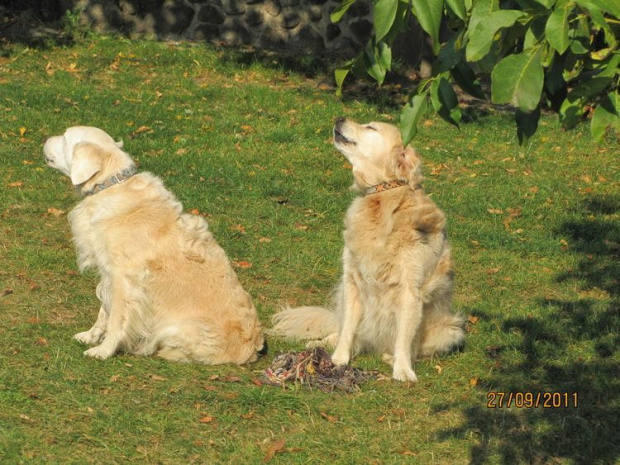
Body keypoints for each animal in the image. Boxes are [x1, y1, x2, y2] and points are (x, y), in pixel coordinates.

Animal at [43, 126, 266, 362]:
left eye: (65, 138)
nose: (45, 138)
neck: (111, 185)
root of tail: (253, 349)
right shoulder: (108, 274)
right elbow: (104, 311)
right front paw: (90, 336)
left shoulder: (124, 279)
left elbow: (116, 318)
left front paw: (103, 350)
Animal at [268, 117, 462, 380]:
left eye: (371, 127)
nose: (339, 118)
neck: (383, 196)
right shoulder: (352, 281)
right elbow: (348, 329)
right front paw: (337, 359)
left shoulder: (410, 291)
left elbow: (404, 337)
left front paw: (402, 369)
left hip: (451, 331)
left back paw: (391, 357)